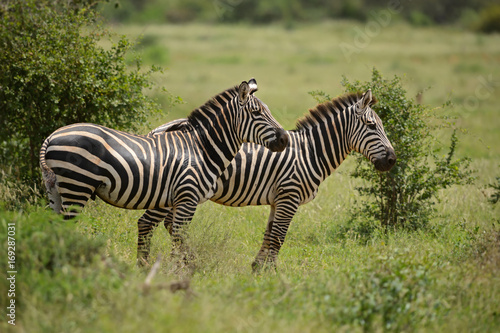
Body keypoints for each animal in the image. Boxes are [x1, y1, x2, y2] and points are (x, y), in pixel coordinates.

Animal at [40, 78, 290, 262]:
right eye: (257, 113)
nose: (285, 139)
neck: (202, 148)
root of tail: (52, 136)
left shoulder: (177, 199)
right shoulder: (187, 198)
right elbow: (179, 240)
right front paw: (179, 273)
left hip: (55, 190)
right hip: (77, 187)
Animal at [144, 89, 394, 270]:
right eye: (372, 126)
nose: (391, 160)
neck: (311, 152)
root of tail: (160, 129)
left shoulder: (278, 199)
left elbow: (269, 234)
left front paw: (258, 268)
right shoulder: (290, 196)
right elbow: (279, 237)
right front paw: (271, 273)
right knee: (153, 223)